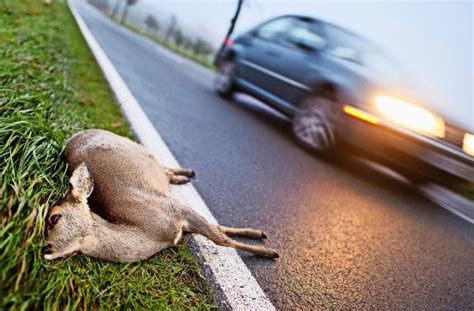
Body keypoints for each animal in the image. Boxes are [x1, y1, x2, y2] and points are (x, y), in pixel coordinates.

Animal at [42, 129, 280, 264]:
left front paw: (269, 252)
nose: (45, 248)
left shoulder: (175, 208)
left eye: (54, 217)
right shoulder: (179, 215)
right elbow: (219, 230)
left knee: (163, 167)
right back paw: (184, 176)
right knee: (165, 173)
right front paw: (258, 235)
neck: (152, 233)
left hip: (137, 147)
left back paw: (187, 173)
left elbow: (221, 238)